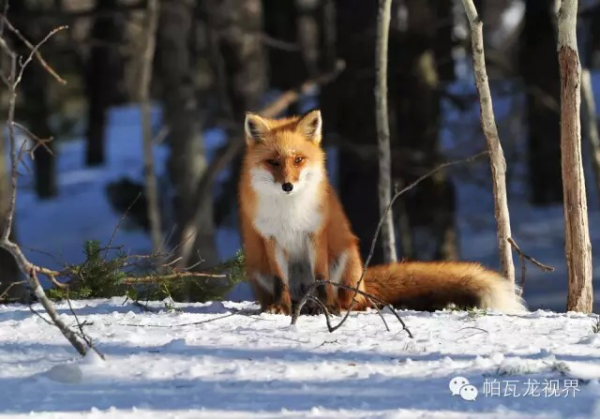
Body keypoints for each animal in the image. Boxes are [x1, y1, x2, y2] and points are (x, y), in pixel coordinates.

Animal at [239, 110, 524, 316]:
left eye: (298, 160)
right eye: (273, 162)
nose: (288, 186)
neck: (289, 211)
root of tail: (364, 283)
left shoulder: (315, 233)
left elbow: (321, 279)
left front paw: (326, 307)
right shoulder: (271, 239)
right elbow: (281, 281)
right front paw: (280, 307)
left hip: (344, 259)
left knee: (355, 303)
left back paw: (328, 306)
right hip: (257, 267)